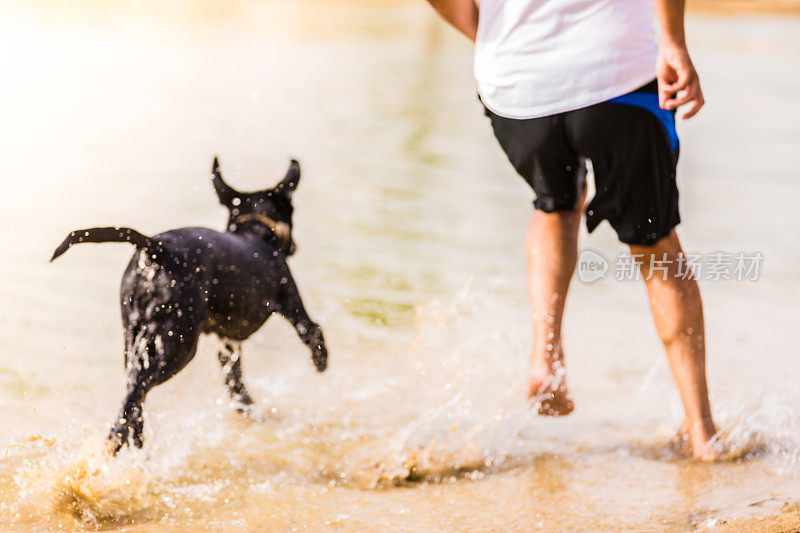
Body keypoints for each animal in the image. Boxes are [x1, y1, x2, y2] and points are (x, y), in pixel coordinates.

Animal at [51, 158, 326, 454]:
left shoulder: (228, 345)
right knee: (139, 387)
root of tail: (157, 249)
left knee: (133, 388)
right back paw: (117, 438)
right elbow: (313, 332)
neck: (255, 232)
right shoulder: (291, 301)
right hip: (180, 345)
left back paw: (135, 437)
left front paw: (250, 408)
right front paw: (320, 362)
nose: (294, 246)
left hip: (134, 337)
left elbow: (235, 383)